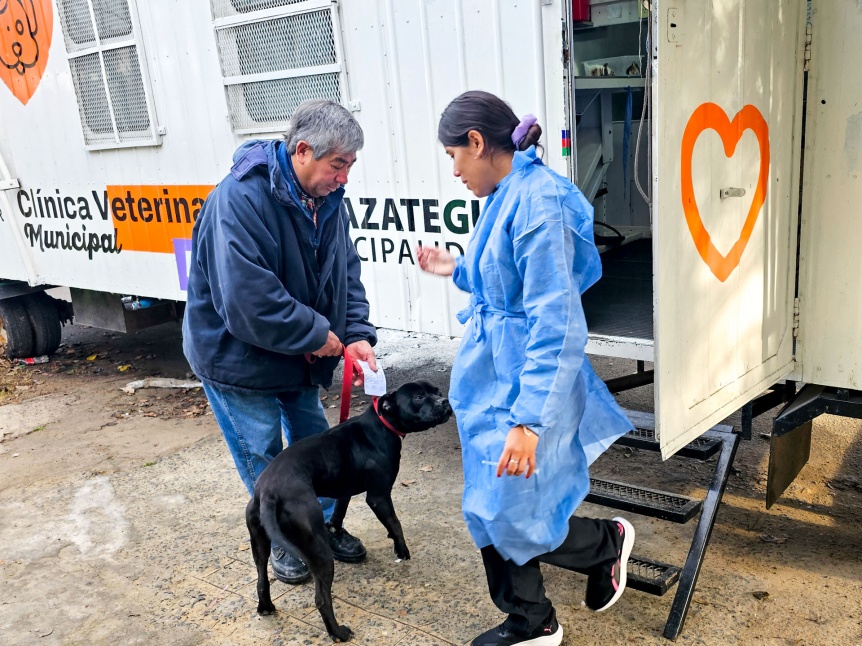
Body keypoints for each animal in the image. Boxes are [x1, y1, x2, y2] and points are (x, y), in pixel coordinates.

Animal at [246, 380, 452, 644]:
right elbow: (395, 523)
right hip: (318, 551)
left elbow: (338, 512)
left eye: (437, 391)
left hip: (259, 543)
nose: (445, 401)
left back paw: (266, 607)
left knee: (261, 578)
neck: (382, 423)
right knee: (322, 599)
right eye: (419, 396)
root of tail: (268, 492)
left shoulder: (344, 490)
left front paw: (337, 532)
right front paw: (401, 549)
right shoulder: (378, 496)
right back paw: (338, 632)